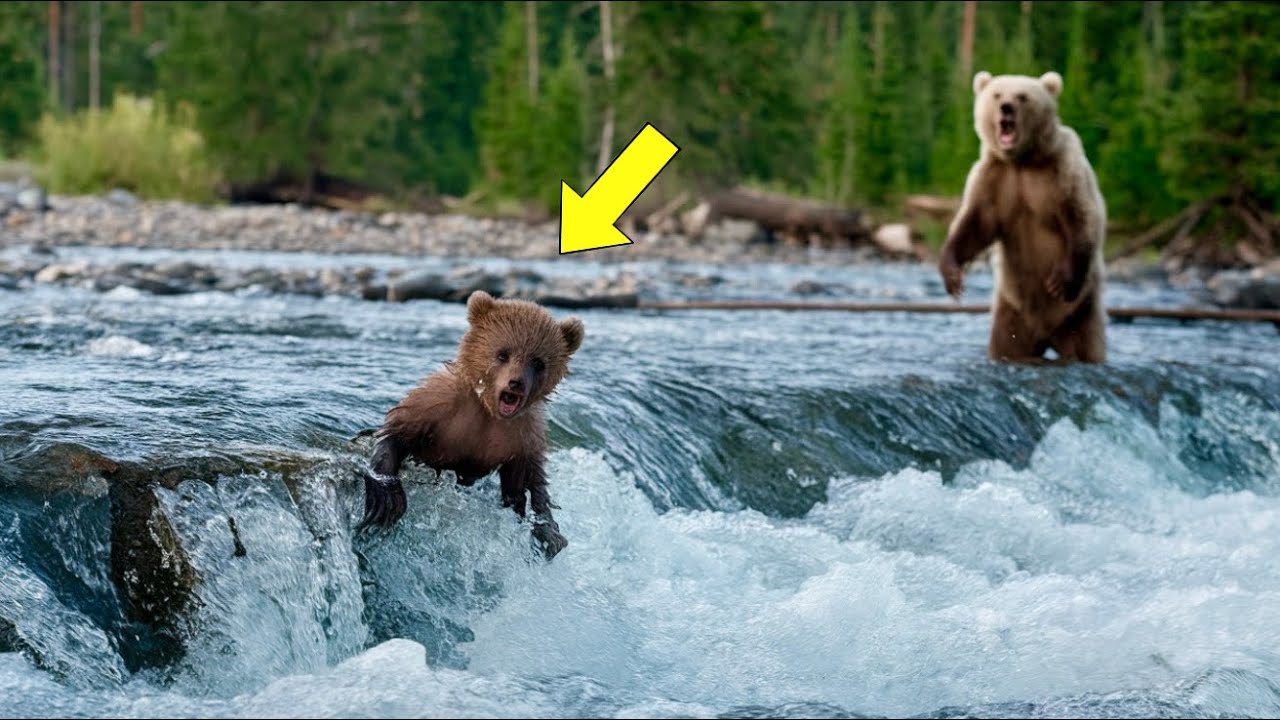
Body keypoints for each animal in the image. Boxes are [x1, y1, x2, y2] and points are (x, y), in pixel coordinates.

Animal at [359, 290, 585, 560]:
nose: (516, 383)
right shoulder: (439, 404)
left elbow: (531, 481)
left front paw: (548, 531)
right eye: (503, 353)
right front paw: (386, 496)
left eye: (538, 362)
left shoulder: (525, 434)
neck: (489, 410)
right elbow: (398, 432)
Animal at [939, 70, 1107, 364]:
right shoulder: (994, 178)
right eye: (997, 95)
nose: (1006, 108)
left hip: (1080, 310)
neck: (1023, 160)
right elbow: (975, 224)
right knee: (1008, 344)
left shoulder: (1063, 169)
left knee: (1085, 345)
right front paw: (952, 275)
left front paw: (1060, 281)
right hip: (1012, 312)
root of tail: (1046, 333)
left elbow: (1081, 216)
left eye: (1022, 96)